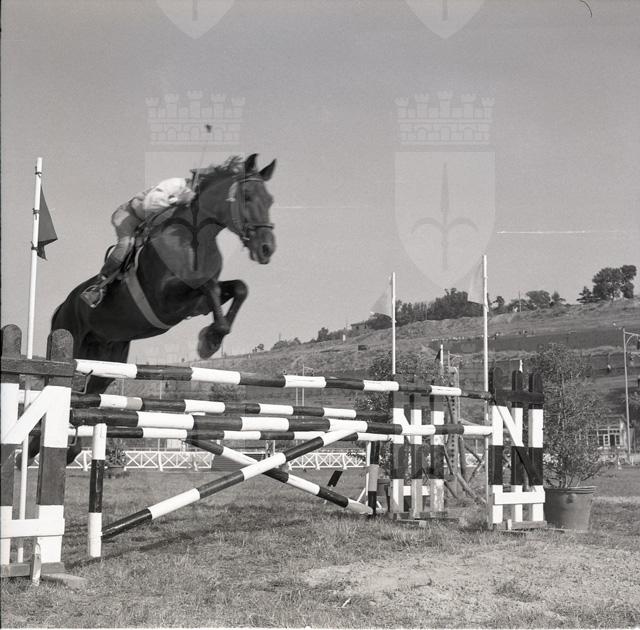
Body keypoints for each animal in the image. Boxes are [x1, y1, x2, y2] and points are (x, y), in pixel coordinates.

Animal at [22, 154, 276, 466]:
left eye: (270, 200)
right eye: (247, 196)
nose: (266, 249)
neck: (196, 239)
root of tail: (62, 306)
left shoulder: (198, 302)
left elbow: (238, 288)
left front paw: (213, 337)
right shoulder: (167, 300)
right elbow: (209, 286)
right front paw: (211, 340)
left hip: (108, 364)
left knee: (89, 396)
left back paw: (67, 450)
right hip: (70, 342)